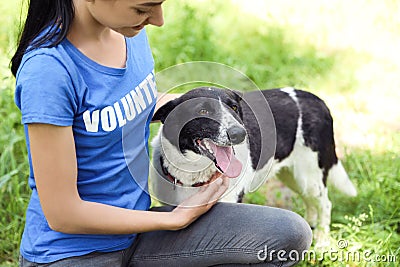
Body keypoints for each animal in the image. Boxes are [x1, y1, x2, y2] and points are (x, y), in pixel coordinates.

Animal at [150, 87, 356, 246]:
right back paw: (311, 224)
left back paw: (321, 241)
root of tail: (317, 100)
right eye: (203, 111)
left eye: (234, 107)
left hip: (310, 175)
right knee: (310, 201)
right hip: (293, 176)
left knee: (325, 204)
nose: (240, 134)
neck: (193, 173)